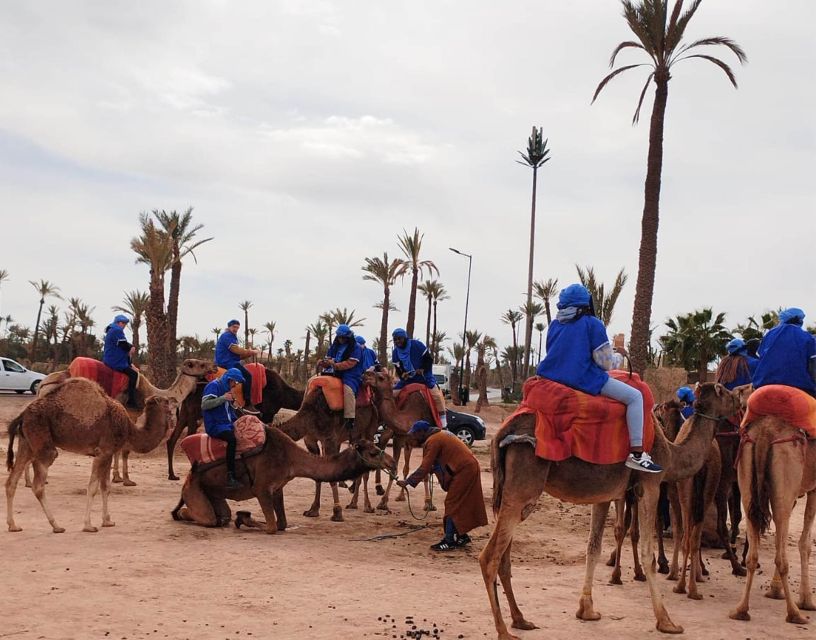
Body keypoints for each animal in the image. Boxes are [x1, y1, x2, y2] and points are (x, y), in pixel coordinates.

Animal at [6, 378, 175, 532]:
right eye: (167, 402)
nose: (175, 402)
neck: (128, 428)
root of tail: (22, 415)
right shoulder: (102, 452)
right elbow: (93, 488)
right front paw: (88, 525)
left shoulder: (108, 453)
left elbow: (106, 486)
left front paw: (107, 521)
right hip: (43, 443)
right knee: (38, 485)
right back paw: (56, 526)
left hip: (26, 443)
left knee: (11, 482)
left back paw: (13, 525)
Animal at [171, 422, 394, 532]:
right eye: (373, 452)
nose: (391, 462)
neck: (290, 458)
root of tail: (189, 476)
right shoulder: (261, 489)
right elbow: (271, 527)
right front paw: (243, 517)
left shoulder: (277, 487)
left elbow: (282, 524)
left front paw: (243, 517)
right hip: (194, 489)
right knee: (208, 518)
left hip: (212, 491)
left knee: (221, 516)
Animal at [364, 368, 440, 512]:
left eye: (381, 377)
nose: (365, 374)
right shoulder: (399, 439)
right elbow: (394, 469)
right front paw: (383, 502)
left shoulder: (424, 442)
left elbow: (425, 472)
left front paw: (428, 503)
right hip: (406, 444)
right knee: (405, 467)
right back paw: (401, 495)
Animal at [478, 382, 740, 636]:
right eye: (726, 392)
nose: (739, 398)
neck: (671, 453)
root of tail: (504, 431)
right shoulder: (650, 485)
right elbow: (647, 552)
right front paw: (666, 621)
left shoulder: (603, 495)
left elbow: (593, 548)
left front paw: (586, 610)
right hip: (523, 486)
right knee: (490, 557)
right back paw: (503, 630)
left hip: (513, 494)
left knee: (504, 557)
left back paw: (520, 619)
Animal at [728, 412, 812, 624]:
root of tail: (765, 433)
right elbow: (805, 543)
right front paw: (807, 600)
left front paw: (775, 590)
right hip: (785, 475)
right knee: (782, 557)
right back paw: (794, 613)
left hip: (746, 475)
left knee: (752, 554)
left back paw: (740, 610)